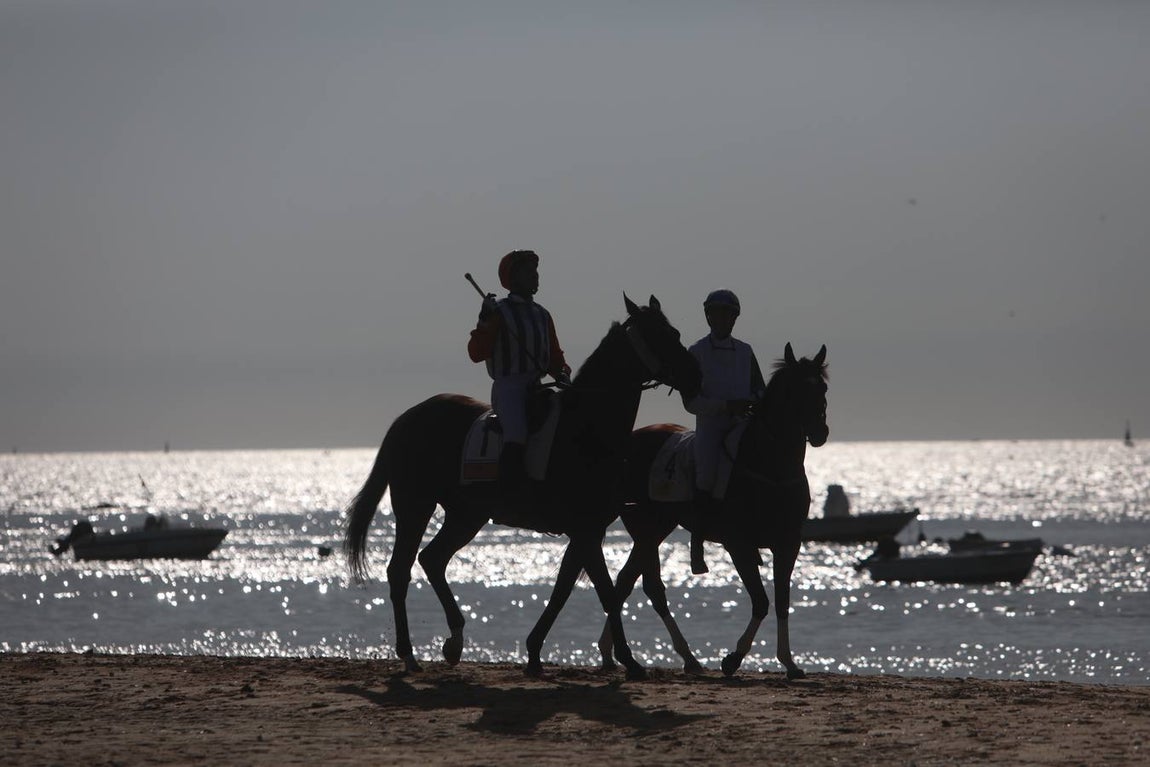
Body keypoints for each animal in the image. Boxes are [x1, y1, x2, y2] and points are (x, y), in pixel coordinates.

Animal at [344, 295, 702, 681]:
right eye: (664, 336)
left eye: (674, 332)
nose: (696, 378)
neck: (586, 431)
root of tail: (407, 417)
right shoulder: (586, 531)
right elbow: (606, 592)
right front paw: (630, 660)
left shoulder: (586, 531)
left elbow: (564, 590)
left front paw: (534, 652)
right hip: (415, 505)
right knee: (400, 569)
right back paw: (409, 654)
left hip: (466, 515)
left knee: (432, 559)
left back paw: (454, 641)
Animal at [597, 342, 828, 679]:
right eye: (795, 390)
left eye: (822, 388)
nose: (820, 432)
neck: (769, 467)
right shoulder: (739, 544)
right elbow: (761, 601)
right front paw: (734, 658)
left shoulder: (788, 543)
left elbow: (782, 600)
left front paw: (789, 661)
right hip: (646, 527)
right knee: (646, 586)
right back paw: (682, 656)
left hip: (656, 527)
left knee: (628, 581)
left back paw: (614, 652)